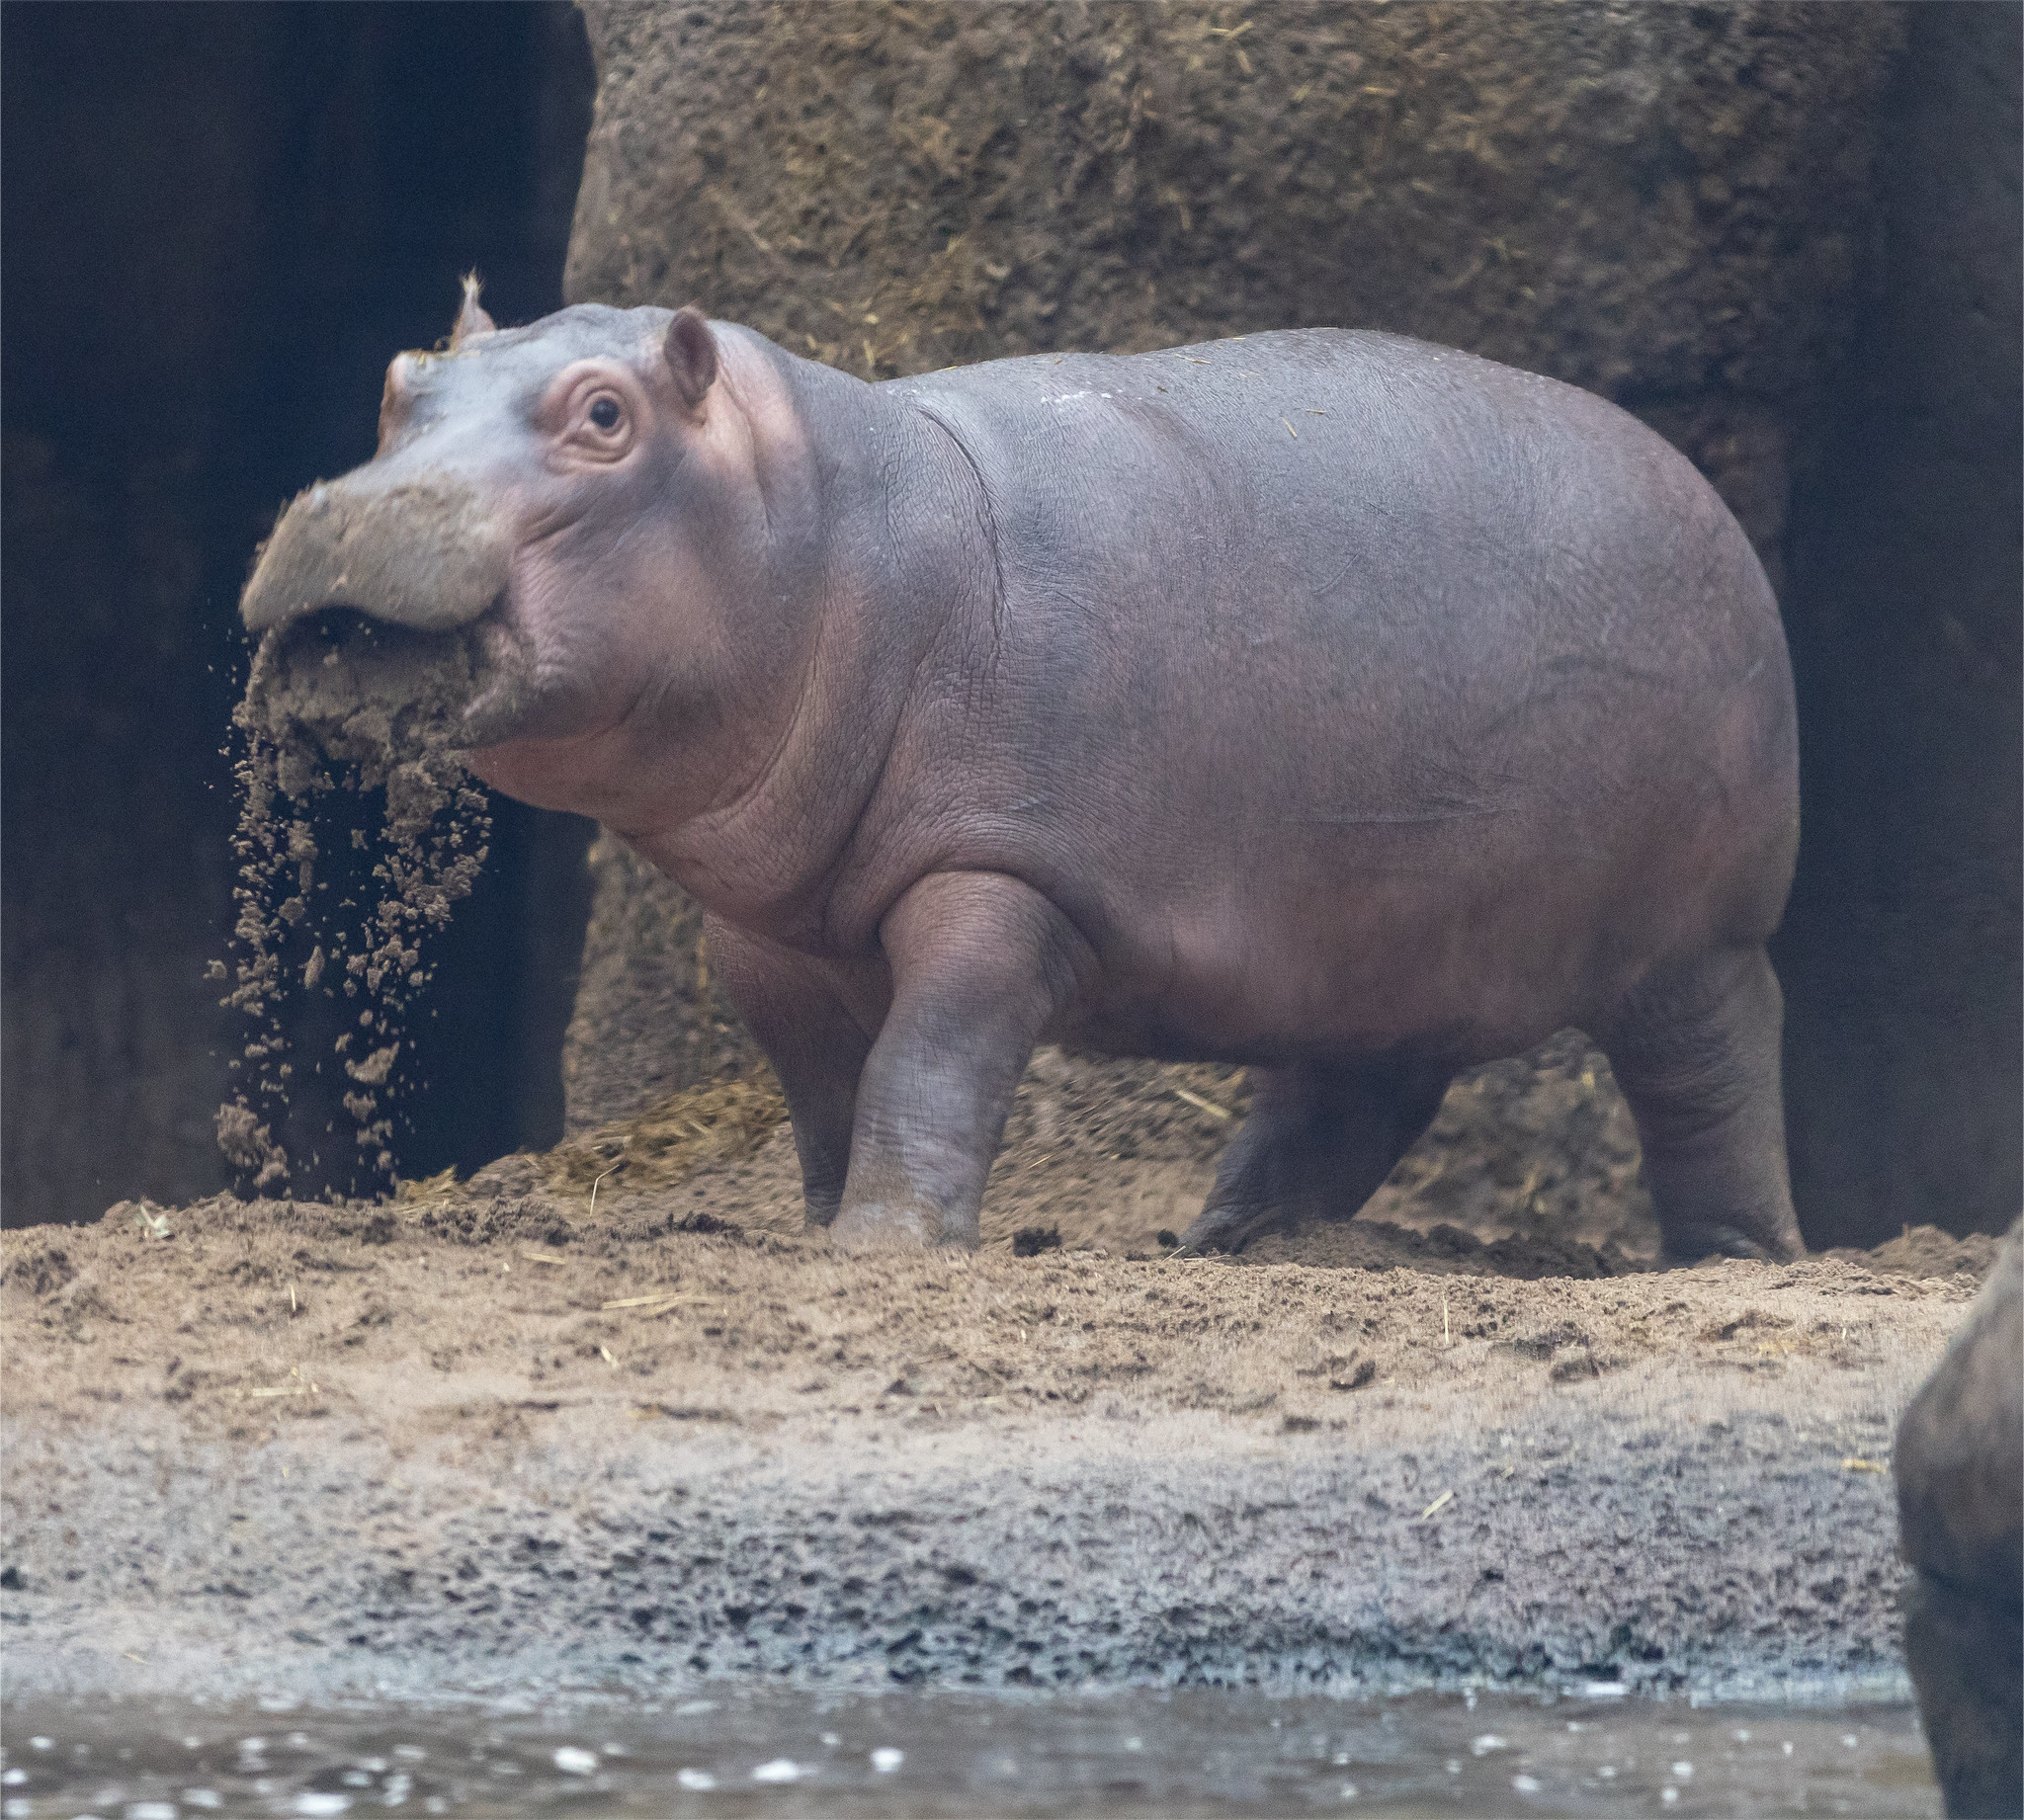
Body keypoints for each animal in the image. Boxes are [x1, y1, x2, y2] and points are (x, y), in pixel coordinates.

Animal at [240, 287, 1805, 1263]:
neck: (836, 528)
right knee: (1352, 1091)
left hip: (1694, 937)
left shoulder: (1002, 875)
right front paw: (826, 1222)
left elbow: (927, 1058)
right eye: (399, 385)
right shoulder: (764, 928)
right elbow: (825, 1084)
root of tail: (1708, 497)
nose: (344, 515)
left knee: (1714, 1078)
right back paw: (1226, 1242)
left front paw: (886, 1247)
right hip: (1373, 927)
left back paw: (1728, 1256)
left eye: (606, 415)